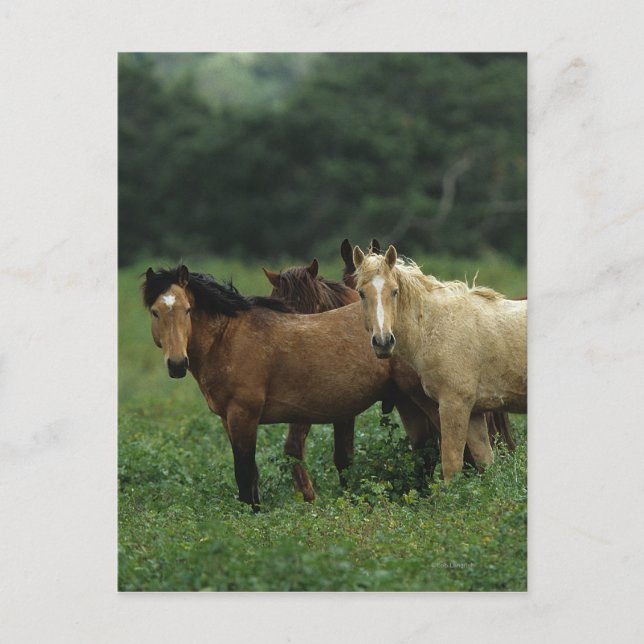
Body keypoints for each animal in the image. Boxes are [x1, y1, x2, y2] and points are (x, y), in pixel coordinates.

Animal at [143, 264, 452, 510]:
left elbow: (245, 472)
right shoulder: (228, 420)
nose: (177, 364)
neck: (228, 338)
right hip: (407, 401)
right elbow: (251, 474)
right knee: (425, 449)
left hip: (427, 400)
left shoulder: (244, 415)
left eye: (187, 309)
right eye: (155, 312)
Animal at [352, 244, 527, 482]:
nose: (383, 342)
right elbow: (486, 464)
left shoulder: (453, 405)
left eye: (394, 291)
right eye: (361, 293)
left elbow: (451, 466)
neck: (437, 326)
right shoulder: (474, 413)